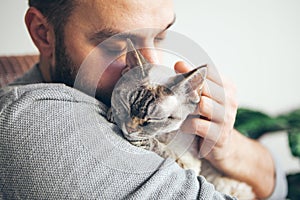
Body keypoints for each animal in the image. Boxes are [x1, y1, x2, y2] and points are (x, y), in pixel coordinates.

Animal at [108, 39, 255, 200]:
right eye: (126, 104)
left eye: (155, 118)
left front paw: (145, 140)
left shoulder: (189, 164)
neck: (164, 135)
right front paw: (113, 113)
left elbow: (164, 151)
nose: (129, 129)